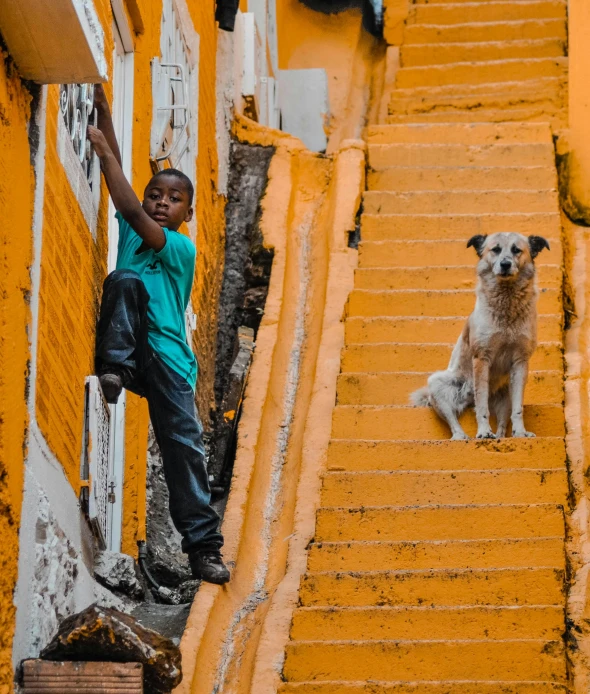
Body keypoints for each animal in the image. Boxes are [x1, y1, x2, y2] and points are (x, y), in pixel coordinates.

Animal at [412, 234, 552, 440]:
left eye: (516, 250)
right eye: (495, 249)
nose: (505, 264)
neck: (506, 304)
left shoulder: (520, 362)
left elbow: (517, 409)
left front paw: (520, 432)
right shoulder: (481, 358)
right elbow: (482, 405)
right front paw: (484, 431)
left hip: (506, 391)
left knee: (502, 421)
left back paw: (501, 435)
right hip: (437, 385)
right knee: (454, 418)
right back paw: (461, 436)